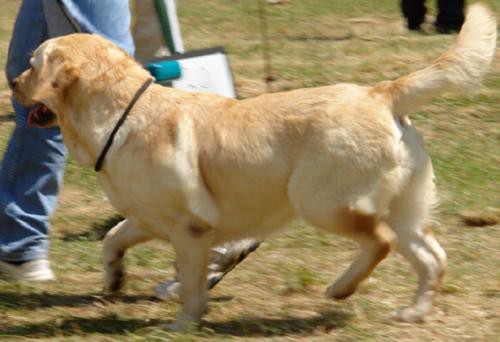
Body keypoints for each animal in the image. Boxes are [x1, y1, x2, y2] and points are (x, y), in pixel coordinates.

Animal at [12, 3, 496, 328]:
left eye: (33, 65)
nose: (13, 80)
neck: (122, 112)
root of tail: (382, 92)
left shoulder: (190, 228)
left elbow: (191, 283)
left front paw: (184, 322)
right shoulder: (147, 216)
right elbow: (112, 238)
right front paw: (114, 279)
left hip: (319, 200)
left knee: (380, 240)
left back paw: (341, 287)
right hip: (405, 206)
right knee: (431, 256)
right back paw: (412, 311)